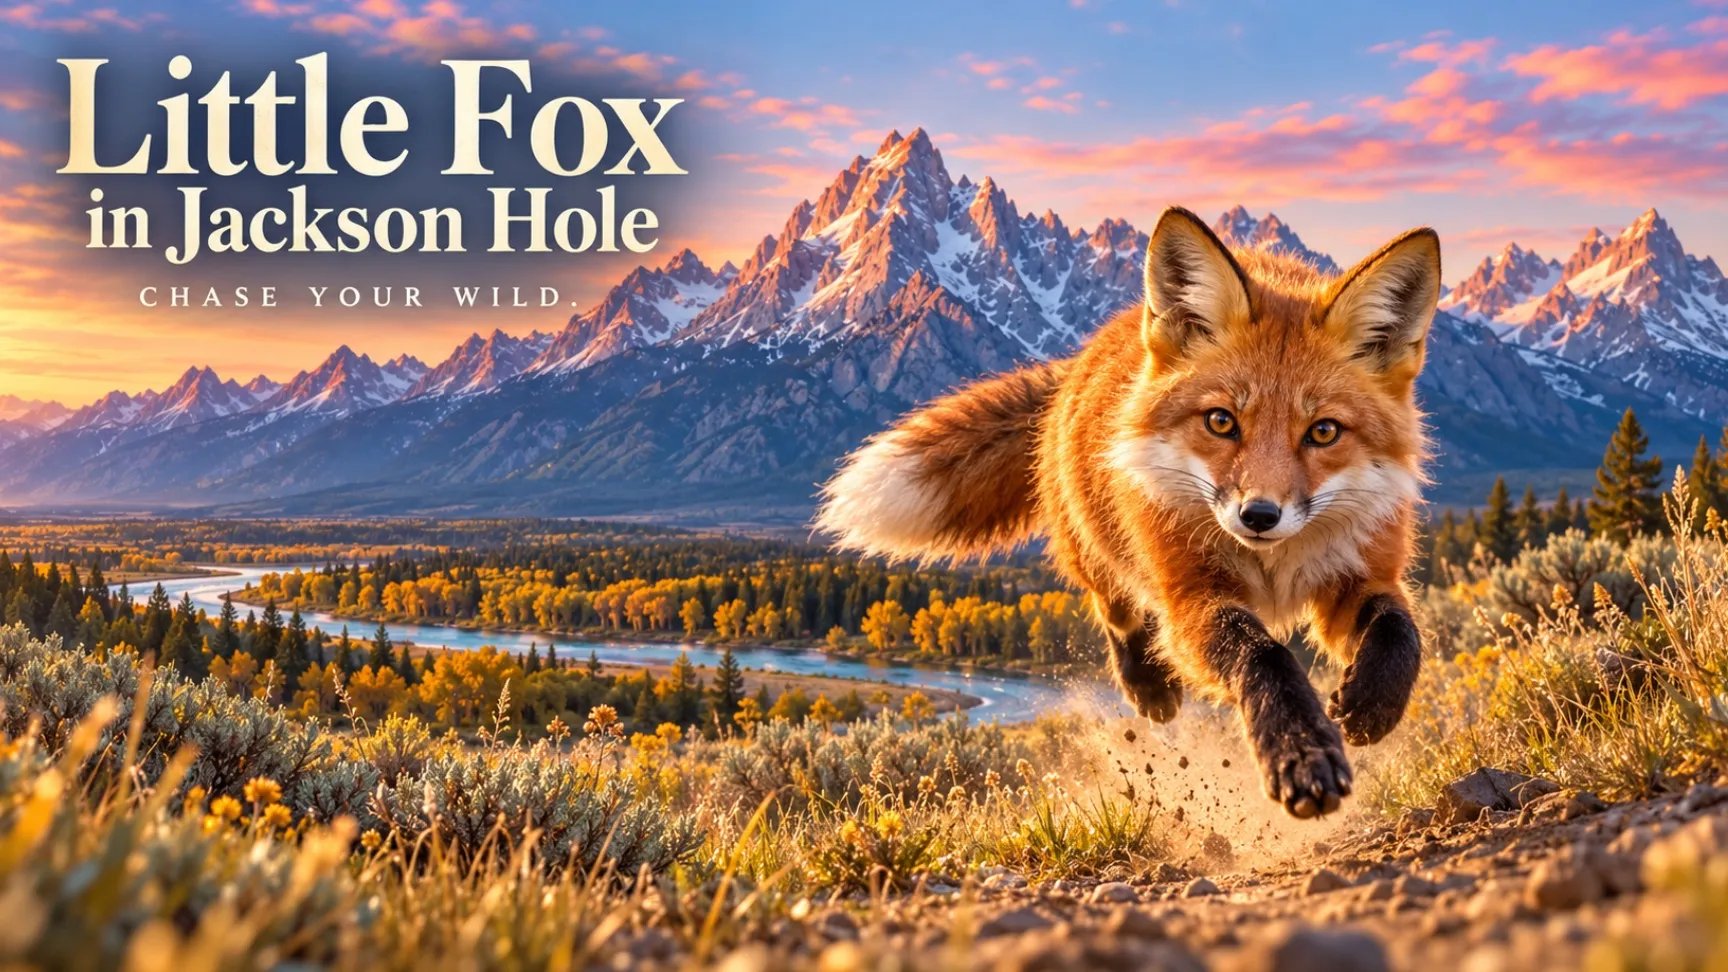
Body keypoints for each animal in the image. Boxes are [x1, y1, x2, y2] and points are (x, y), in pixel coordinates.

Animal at [816, 206, 1441, 819]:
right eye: (1221, 421)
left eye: (1323, 432)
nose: (1259, 515)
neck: (1273, 567)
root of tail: (1086, 352)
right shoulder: (1190, 597)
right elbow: (1263, 654)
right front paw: (1299, 750)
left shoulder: (1360, 576)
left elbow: (1400, 630)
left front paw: (1372, 704)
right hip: (1098, 545)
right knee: (1114, 605)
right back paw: (1148, 686)